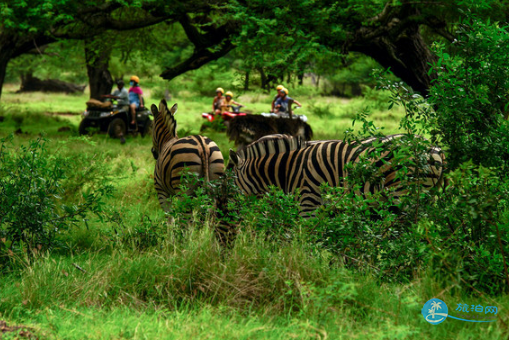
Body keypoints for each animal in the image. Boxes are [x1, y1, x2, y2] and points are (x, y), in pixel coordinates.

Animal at [227, 133, 444, 215]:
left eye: (230, 183)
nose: (224, 210)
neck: (287, 169)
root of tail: (434, 148)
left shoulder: (308, 201)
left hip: (402, 194)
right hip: (427, 195)